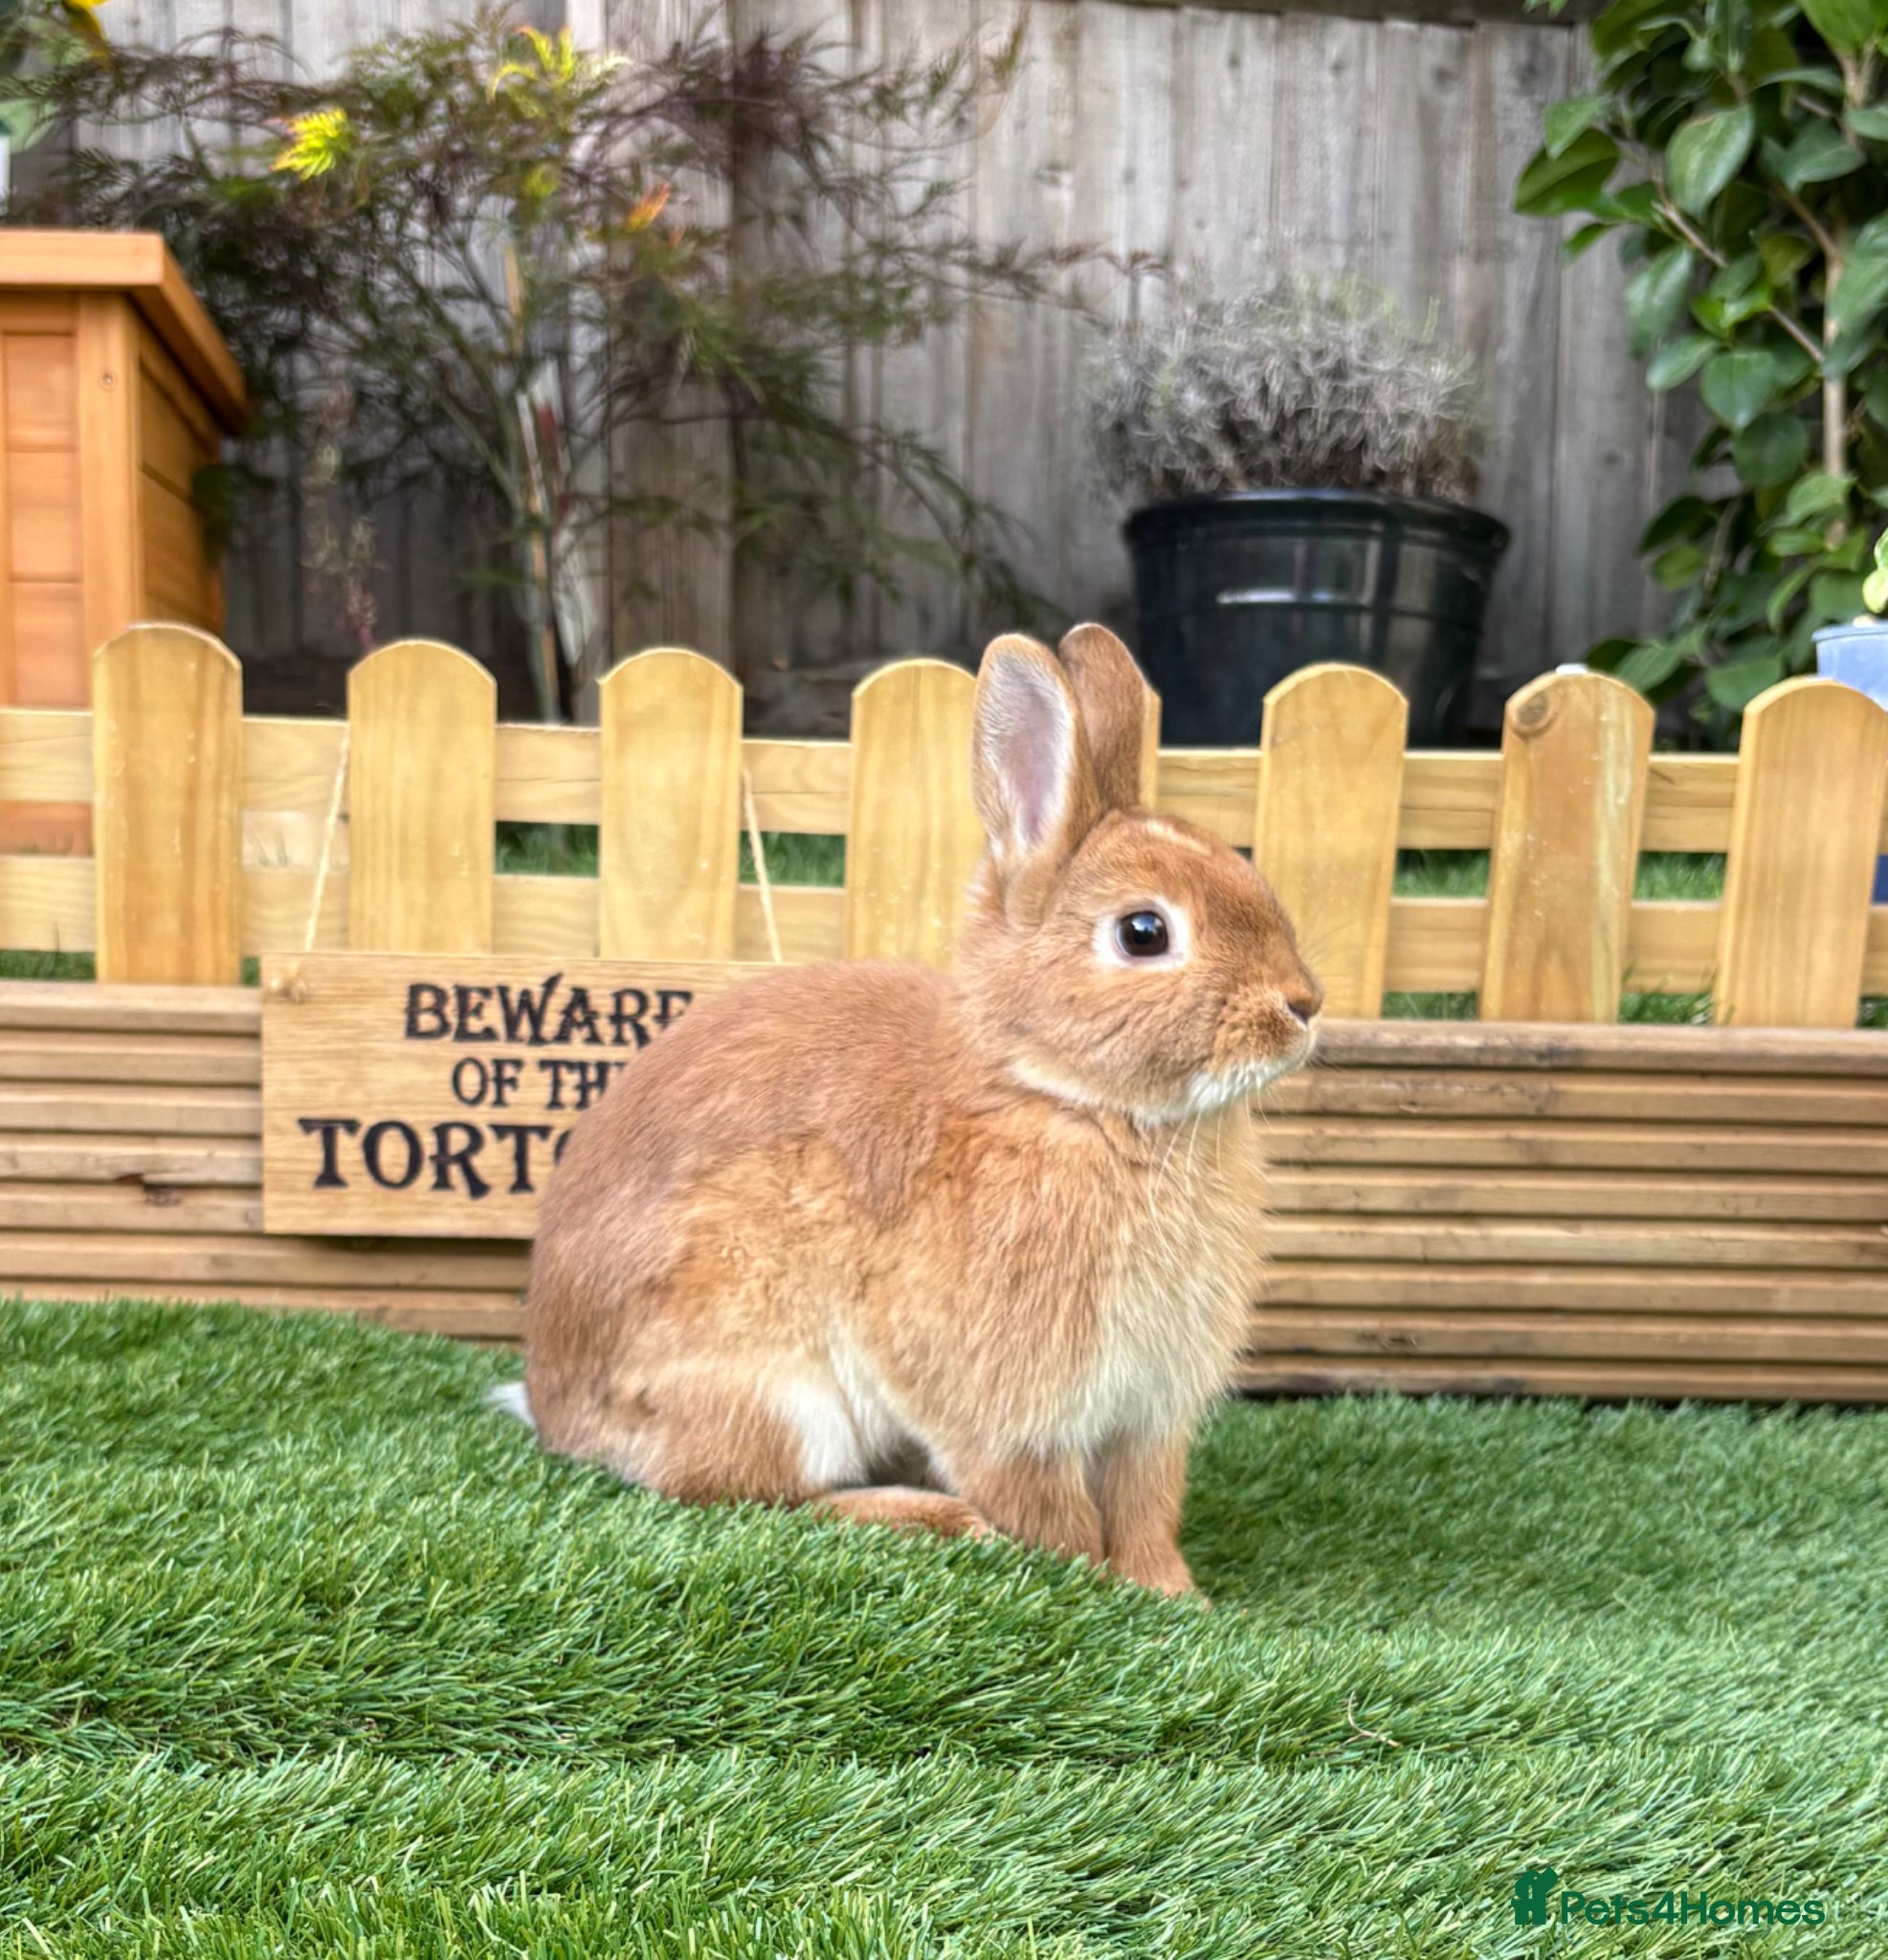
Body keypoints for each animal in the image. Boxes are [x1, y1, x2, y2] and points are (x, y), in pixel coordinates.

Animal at [515, 624, 1322, 1598]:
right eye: (1143, 933)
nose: (1303, 1006)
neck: (1065, 1099)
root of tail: (556, 1409)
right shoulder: (1006, 1413)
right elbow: (1047, 1508)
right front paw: (1085, 1581)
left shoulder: (1146, 1417)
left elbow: (1142, 1508)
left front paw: (1172, 1595)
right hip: (768, 1384)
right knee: (754, 1495)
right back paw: (932, 1518)